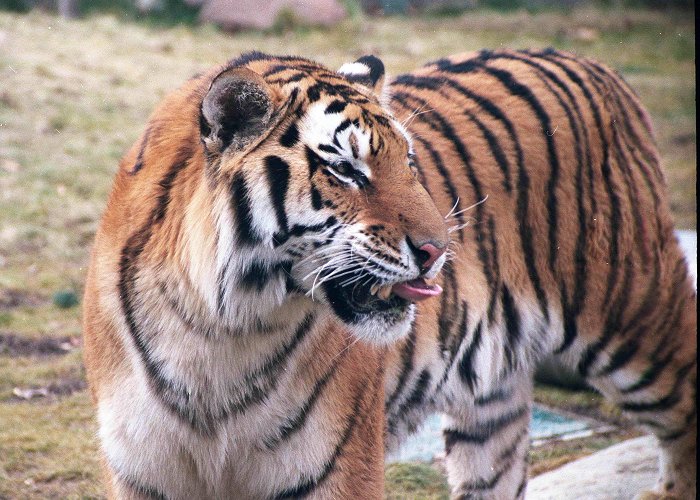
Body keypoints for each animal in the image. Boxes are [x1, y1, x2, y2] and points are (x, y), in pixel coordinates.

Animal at [82, 47, 696, 500]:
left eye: (409, 161)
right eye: (346, 169)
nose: (440, 250)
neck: (217, 332)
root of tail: (595, 65)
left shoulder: (335, 469)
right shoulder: (144, 471)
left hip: (635, 316)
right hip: (491, 401)